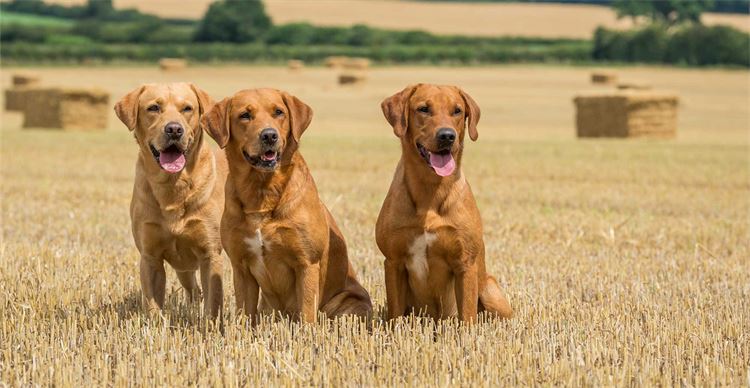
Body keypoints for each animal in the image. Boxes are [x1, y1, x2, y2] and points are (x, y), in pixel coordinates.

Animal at [113, 82, 228, 318]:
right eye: (154, 108)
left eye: (187, 108)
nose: (174, 129)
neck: (173, 185)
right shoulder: (150, 257)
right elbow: (153, 305)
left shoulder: (211, 254)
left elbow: (213, 303)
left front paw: (211, 326)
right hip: (183, 266)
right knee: (193, 290)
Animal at [203, 89, 374, 322]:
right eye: (245, 115)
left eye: (279, 112)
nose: (269, 135)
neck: (262, 193)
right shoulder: (241, 267)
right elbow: (245, 316)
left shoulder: (306, 263)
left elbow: (307, 315)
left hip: (348, 305)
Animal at [378, 83, 516, 322]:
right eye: (423, 109)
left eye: (457, 111)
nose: (447, 136)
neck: (430, 192)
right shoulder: (393, 261)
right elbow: (395, 317)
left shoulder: (465, 264)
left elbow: (468, 316)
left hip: (490, 291)